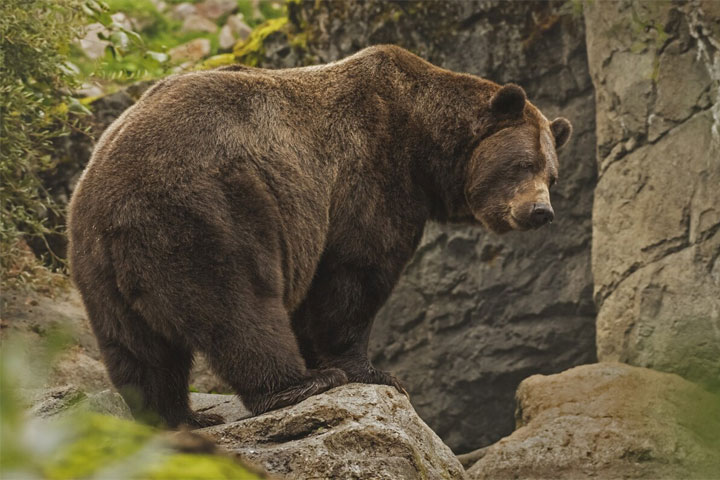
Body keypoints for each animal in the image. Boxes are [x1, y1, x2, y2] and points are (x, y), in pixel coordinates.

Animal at [69, 45, 572, 428]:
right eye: (523, 165)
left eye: (551, 174)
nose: (541, 212)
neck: (424, 144)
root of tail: (114, 206)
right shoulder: (369, 174)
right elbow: (355, 275)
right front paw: (372, 371)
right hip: (208, 210)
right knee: (238, 305)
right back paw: (296, 386)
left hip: (96, 262)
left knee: (138, 348)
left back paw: (178, 417)